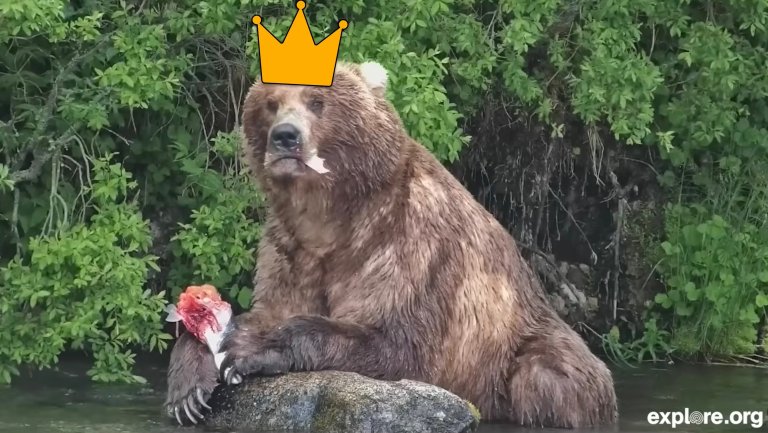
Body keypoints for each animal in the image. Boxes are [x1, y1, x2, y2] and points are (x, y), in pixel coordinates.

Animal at [164, 60, 619, 429]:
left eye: (316, 100)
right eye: (272, 103)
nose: (286, 137)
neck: (330, 214)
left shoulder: (407, 242)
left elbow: (397, 342)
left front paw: (252, 351)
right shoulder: (291, 247)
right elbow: (270, 308)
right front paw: (190, 387)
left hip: (523, 349)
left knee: (546, 378)